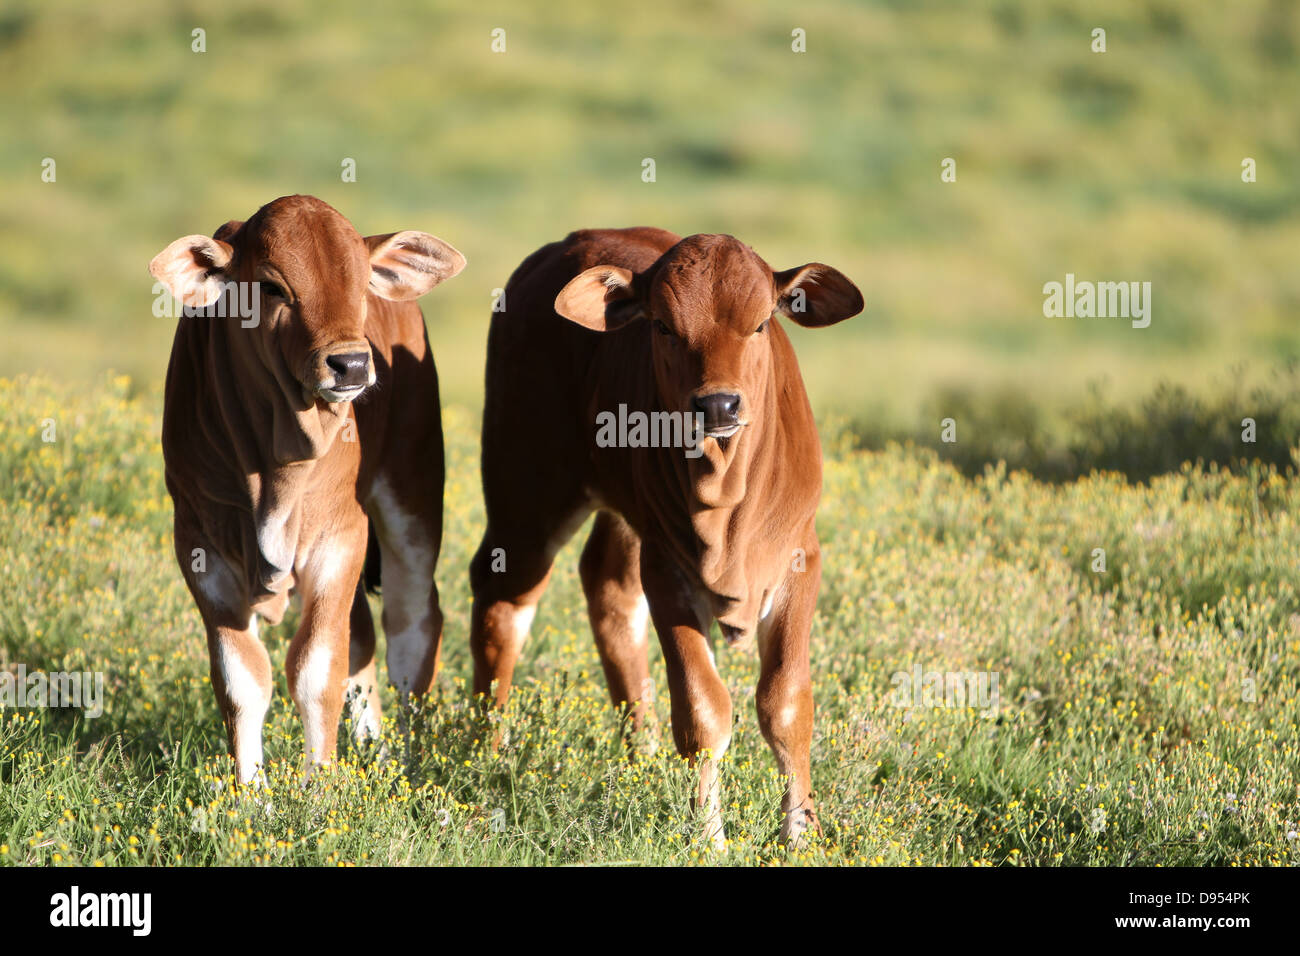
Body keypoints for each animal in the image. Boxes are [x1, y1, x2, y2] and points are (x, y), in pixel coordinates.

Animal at [150, 194, 465, 784]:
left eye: (362, 283)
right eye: (273, 287)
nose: (352, 364)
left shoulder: (339, 536)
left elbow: (316, 670)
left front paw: (319, 784)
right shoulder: (200, 545)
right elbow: (242, 679)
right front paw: (252, 790)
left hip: (412, 499)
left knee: (411, 626)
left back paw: (408, 762)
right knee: (362, 638)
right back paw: (374, 749)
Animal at [469, 228, 863, 847]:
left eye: (760, 323)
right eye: (662, 326)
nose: (719, 404)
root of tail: (564, 245)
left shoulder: (800, 557)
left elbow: (786, 704)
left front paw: (801, 833)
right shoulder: (666, 570)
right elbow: (703, 711)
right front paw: (709, 836)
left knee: (607, 589)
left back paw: (643, 752)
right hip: (527, 491)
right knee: (503, 601)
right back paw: (488, 752)